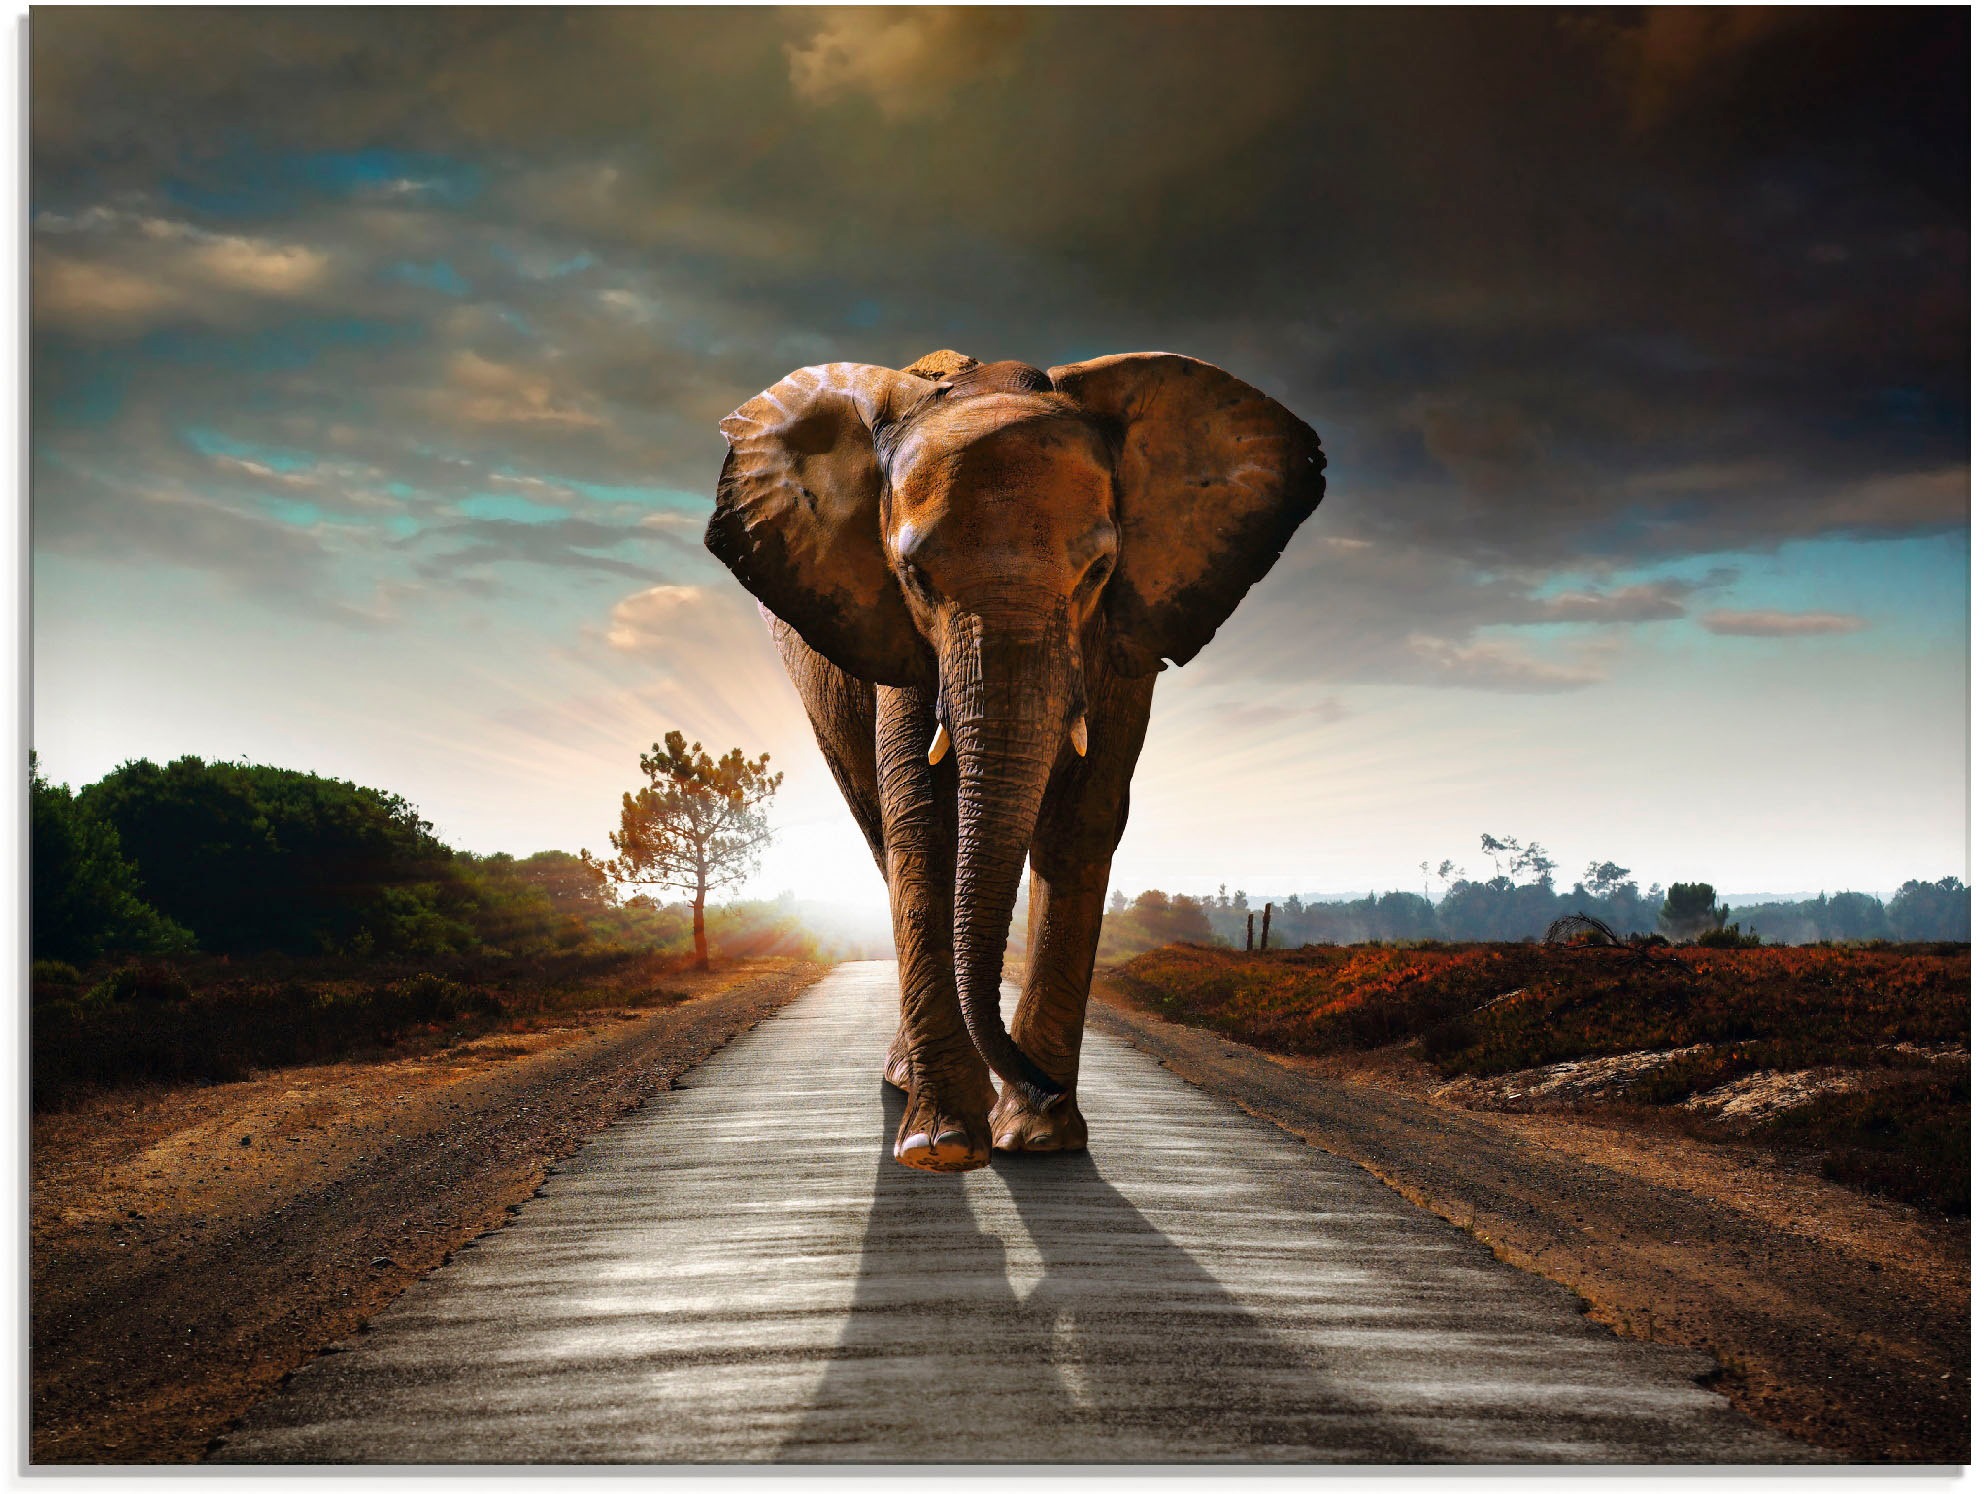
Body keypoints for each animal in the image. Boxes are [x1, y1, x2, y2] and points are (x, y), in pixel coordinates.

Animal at [705, 348, 1324, 1172]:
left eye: (1098, 571)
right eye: (915, 578)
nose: (1039, 1085)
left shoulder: (1124, 631)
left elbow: (1081, 820)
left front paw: (1038, 1138)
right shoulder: (898, 636)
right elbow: (924, 821)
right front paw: (943, 1146)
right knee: (879, 829)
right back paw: (910, 1086)